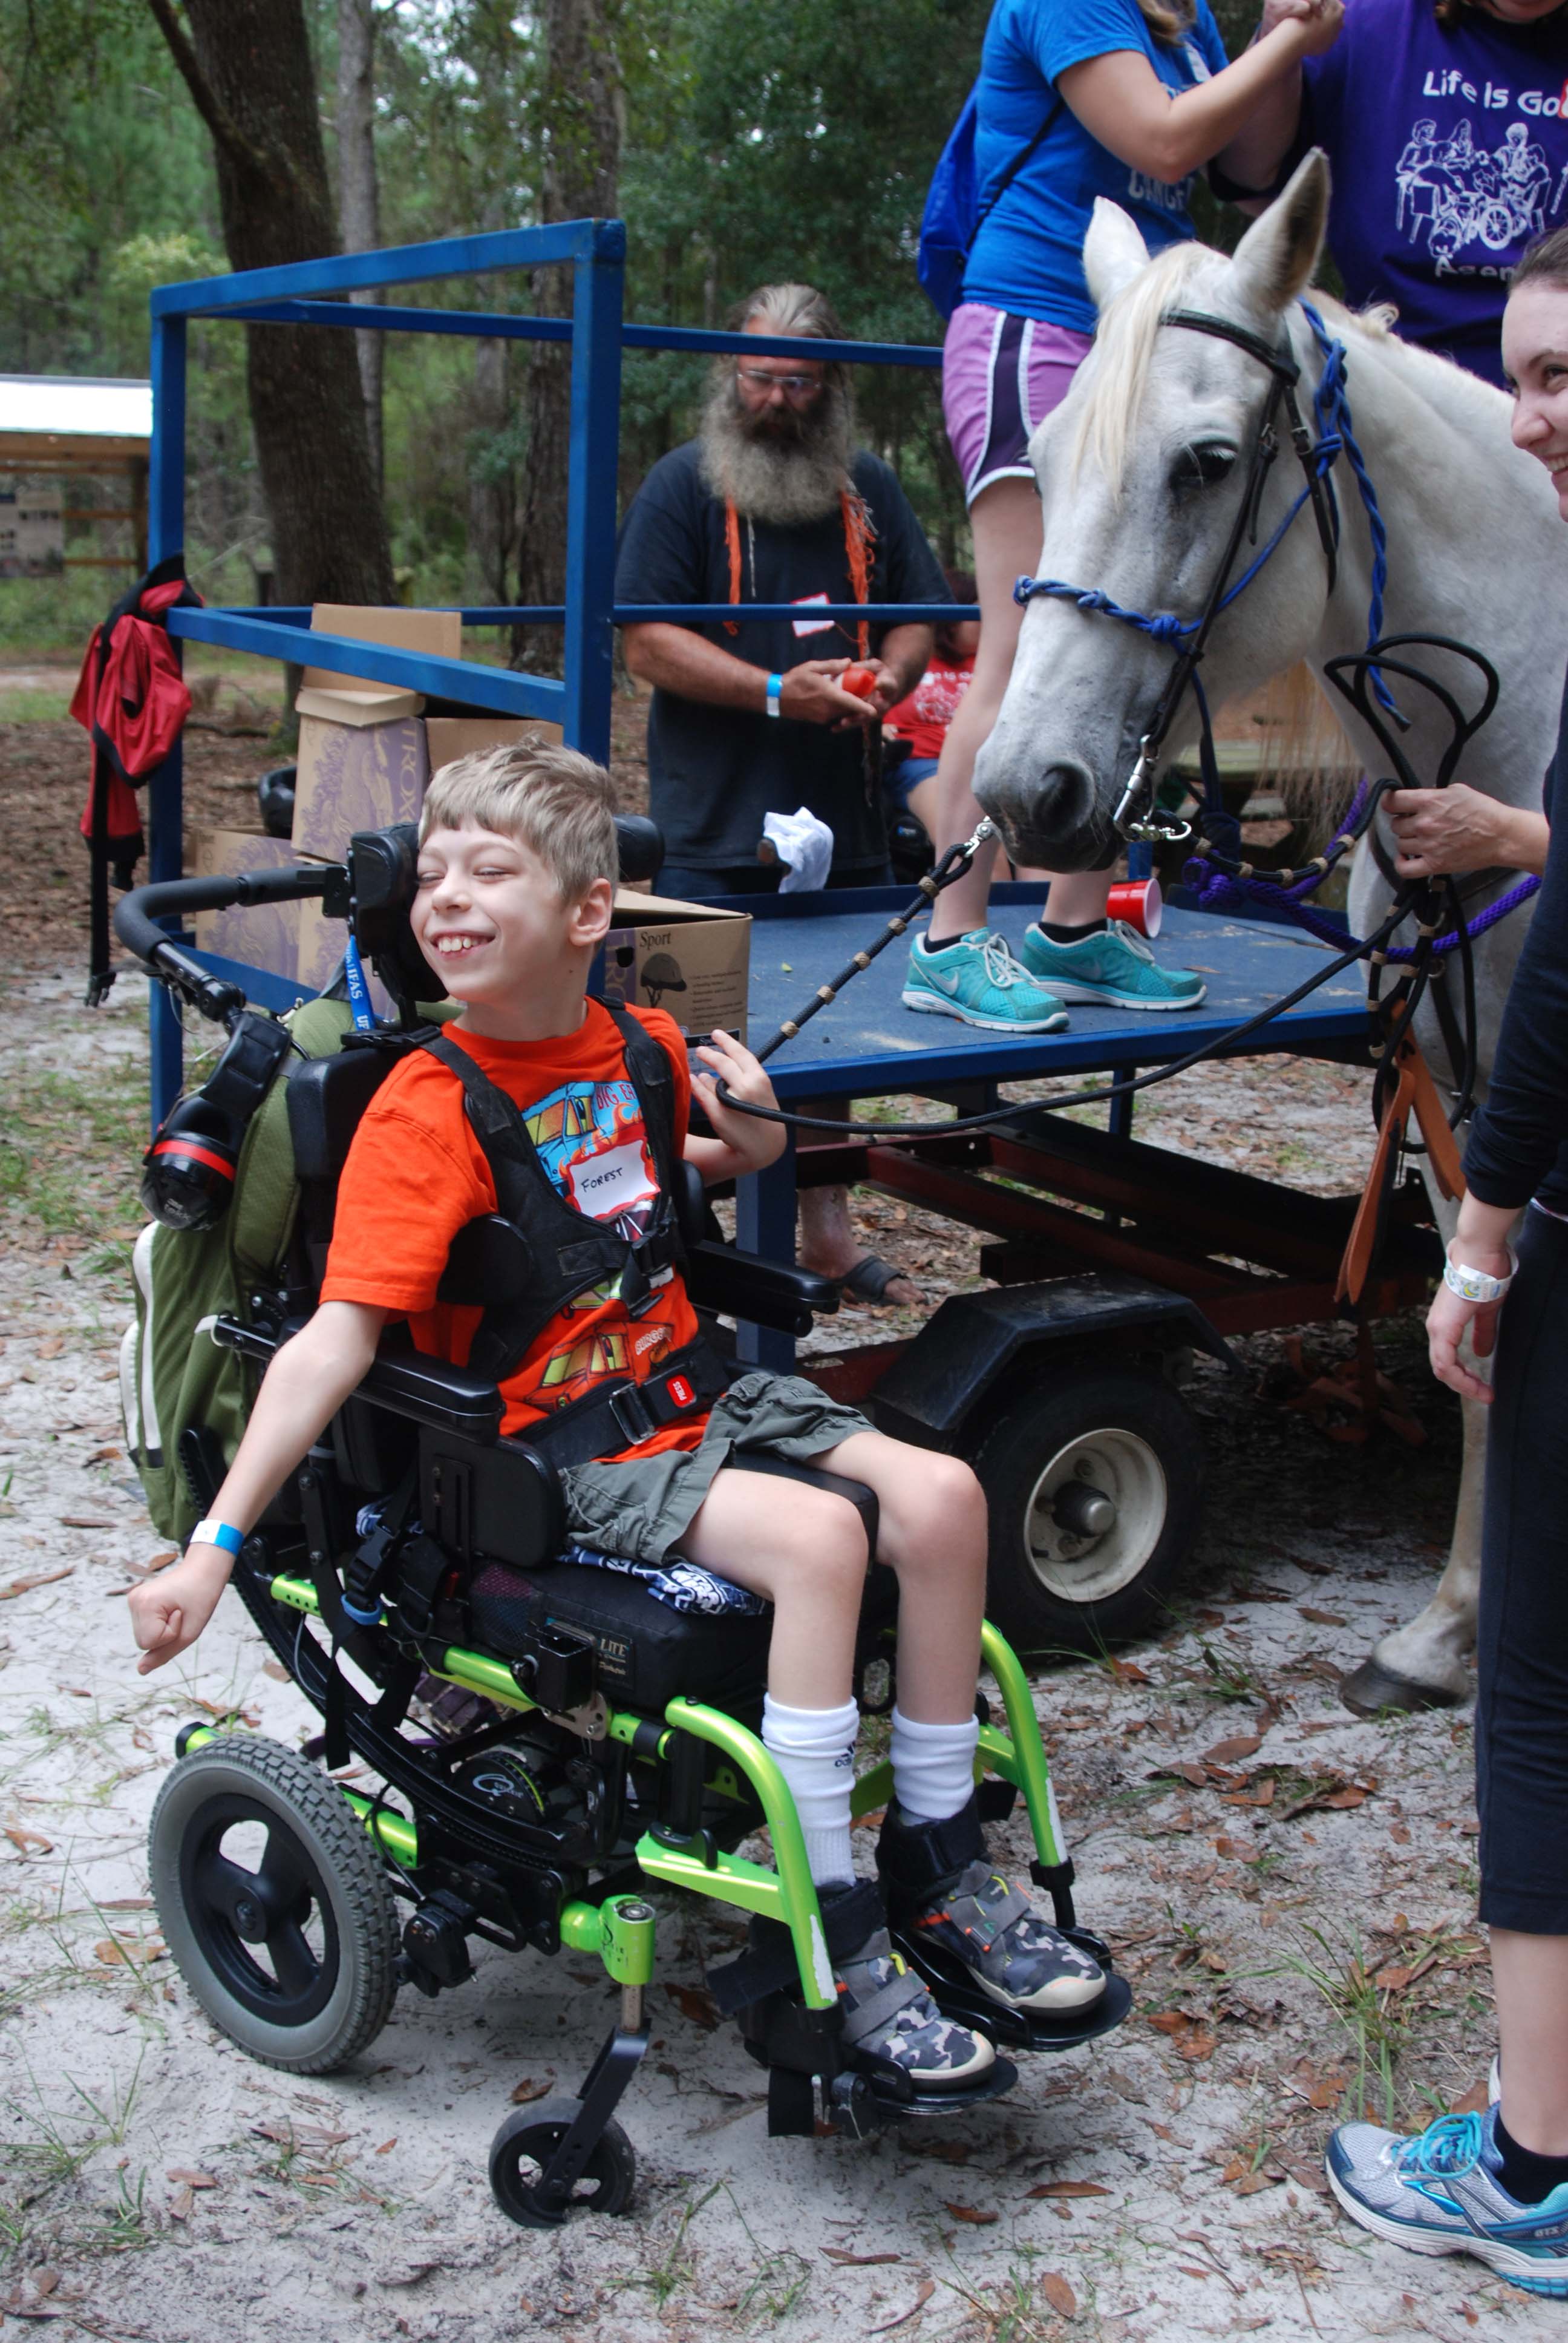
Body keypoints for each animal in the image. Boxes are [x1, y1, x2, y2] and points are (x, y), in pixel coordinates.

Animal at [970, 151, 1556, 1724]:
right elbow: (1481, 1345)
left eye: (1208, 463)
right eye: (1047, 458)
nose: (1025, 790)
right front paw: (1451, 1626)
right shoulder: (1463, 1094)